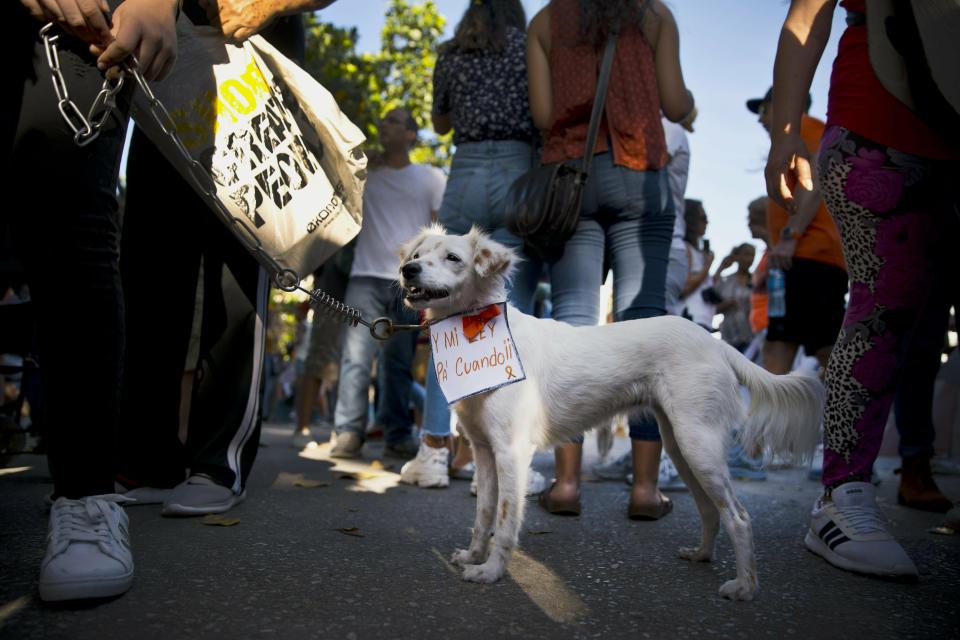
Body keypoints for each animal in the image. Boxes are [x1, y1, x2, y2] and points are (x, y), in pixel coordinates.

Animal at [398, 225, 824, 600]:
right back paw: (702, 555)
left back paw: (746, 587)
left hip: (697, 445)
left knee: (739, 517)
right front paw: (473, 557)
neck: (476, 328)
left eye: (453, 258)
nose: (408, 270)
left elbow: (504, 522)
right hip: (682, 445)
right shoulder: (485, 452)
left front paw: (490, 571)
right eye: (419, 254)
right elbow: (483, 514)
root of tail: (713, 341)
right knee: (710, 509)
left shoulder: (511, 453)